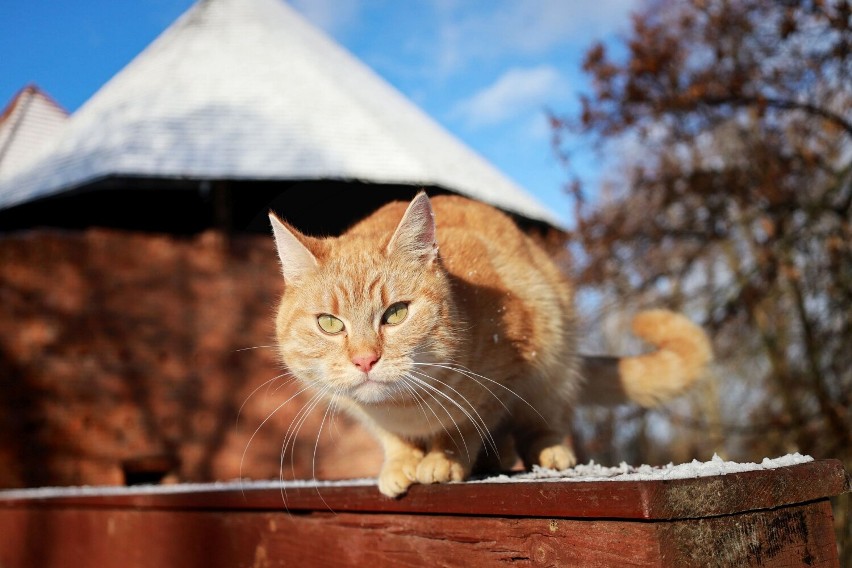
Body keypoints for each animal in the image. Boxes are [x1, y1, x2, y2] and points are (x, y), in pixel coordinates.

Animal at [270, 193, 708, 494]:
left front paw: (443, 458)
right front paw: (401, 462)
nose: (365, 360)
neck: (405, 407)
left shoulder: (507, 373)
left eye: (395, 313)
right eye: (329, 323)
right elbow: (391, 437)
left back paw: (545, 450)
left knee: (542, 423)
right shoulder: (366, 413)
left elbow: (464, 423)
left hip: (555, 363)